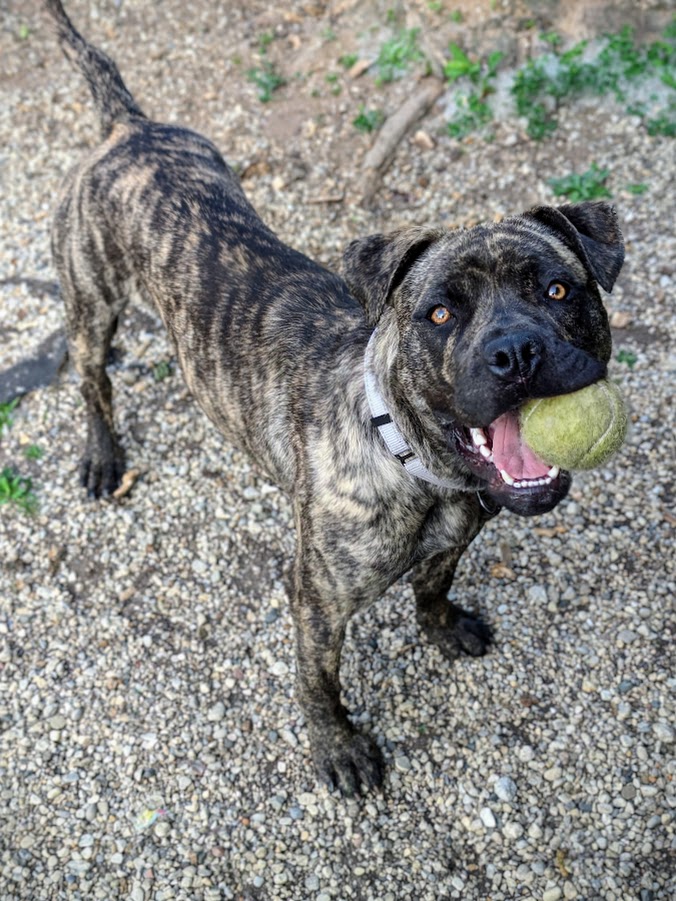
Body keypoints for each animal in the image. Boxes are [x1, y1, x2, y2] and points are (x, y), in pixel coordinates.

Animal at [43, 0, 624, 796]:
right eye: (439, 313)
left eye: (559, 290)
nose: (516, 352)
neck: (414, 460)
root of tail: (127, 127)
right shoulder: (315, 601)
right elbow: (319, 682)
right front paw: (339, 747)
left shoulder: (456, 540)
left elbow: (432, 587)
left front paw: (443, 627)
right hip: (90, 302)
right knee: (92, 382)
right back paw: (104, 455)